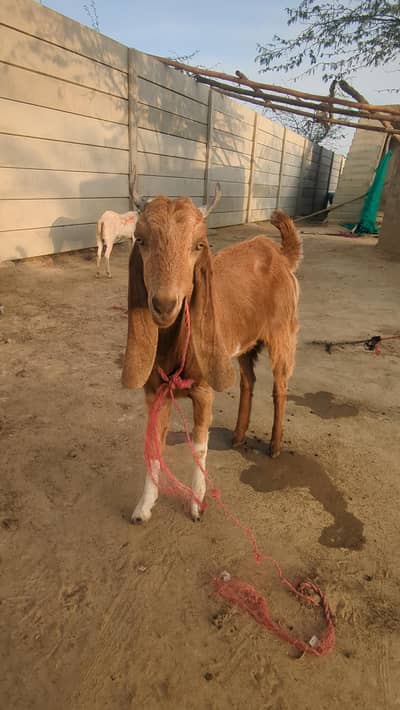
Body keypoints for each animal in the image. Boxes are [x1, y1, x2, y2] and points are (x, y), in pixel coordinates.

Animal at [122, 184, 302, 522]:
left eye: (199, 244)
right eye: (140, 240)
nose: (164, 305)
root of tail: (281, 255)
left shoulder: (204, 391)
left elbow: (199, 446)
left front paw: (196, 504)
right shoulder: (155, 391)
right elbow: (153, 447)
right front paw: (143, 506)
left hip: (283, 334)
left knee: (281, 386)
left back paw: (274, 446)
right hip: (244, 344)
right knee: (248, 380)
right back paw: (238, 435)